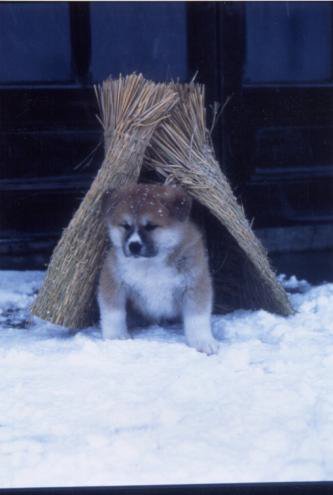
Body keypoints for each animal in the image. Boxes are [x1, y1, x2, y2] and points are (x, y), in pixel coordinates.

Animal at [97, 184, 219, 354]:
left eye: (151, 227)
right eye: (126, 226)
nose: (134, 246)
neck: (150, 263)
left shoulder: (195, 284)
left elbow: (197, 318)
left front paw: (202, 341)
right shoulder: (112, 280)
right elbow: (113, 314)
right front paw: (115, 337)